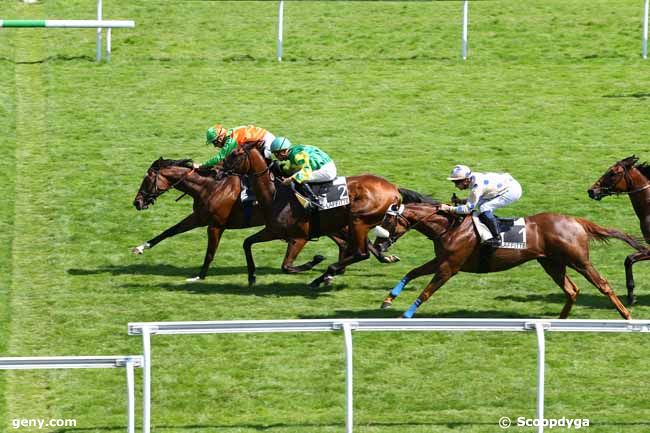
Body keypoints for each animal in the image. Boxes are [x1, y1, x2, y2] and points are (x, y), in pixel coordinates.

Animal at [221, 143, 404, 288]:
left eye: (235, 154)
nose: (218, 170)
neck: (275, 195)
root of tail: (393, 190)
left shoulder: (299, 237)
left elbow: (286, 267)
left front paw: (314, 261)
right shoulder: (273, 231)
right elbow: (247, 243)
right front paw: (251, 276)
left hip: (357, 220)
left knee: (361, 253)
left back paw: (324, 276)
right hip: (352, 223)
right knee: (362, 248)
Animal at [370, 202, 644, 318]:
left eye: (388, 220)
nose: (378, 245)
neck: (450, 227)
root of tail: (576, 221)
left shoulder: (450, 267)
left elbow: (426, 291)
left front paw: (407, 315)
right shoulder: (442, 261)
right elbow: (411, 273)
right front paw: (388, 299)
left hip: (579, 261)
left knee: (603, 284)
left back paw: (626, 314)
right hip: (552, 263)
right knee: (572, 290)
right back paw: (560, 321)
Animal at [584, 154, 648, 302]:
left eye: (613, 173)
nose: (592, 191)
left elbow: (629, 259)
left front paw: (631, 296)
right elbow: (628, 259)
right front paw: (631, 295)